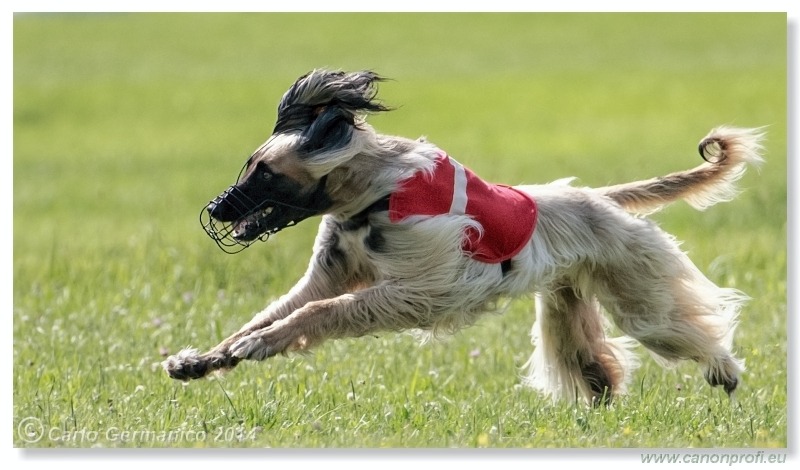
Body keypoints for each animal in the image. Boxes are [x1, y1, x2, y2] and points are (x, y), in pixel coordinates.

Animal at [161, 69, 764, 404]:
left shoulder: (425, 285)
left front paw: (254, 346)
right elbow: (279, 309)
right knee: (590, 362)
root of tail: (600, 198)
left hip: (638, 289)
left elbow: (317, 311)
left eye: (263, 172)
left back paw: (724, 369)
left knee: (674, 325)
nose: (216, 210)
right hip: (566, 297)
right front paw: (203, 359)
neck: (371, 193)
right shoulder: (333, 271)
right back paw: (602, 393)